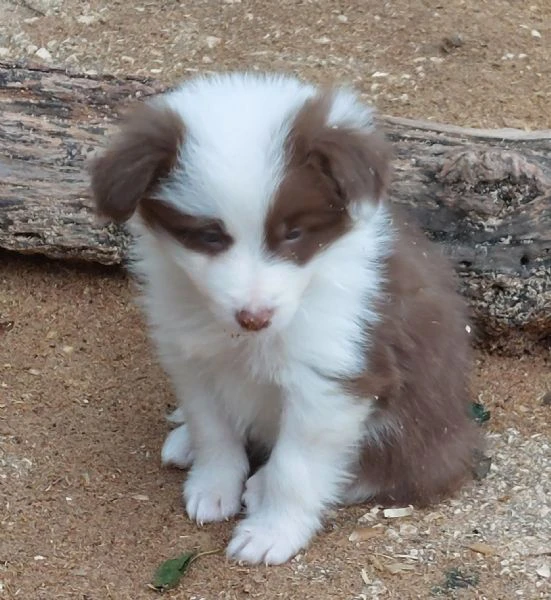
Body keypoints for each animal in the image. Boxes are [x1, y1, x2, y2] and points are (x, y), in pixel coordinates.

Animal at [88, 72, 480, 564]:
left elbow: (296, 469)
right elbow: (212, 427)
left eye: (293, 233)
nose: (254, 317)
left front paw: (272, 530)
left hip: (419, 426)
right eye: (209, 236)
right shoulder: (190, 356)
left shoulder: (331, 380)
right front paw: (212, 483)